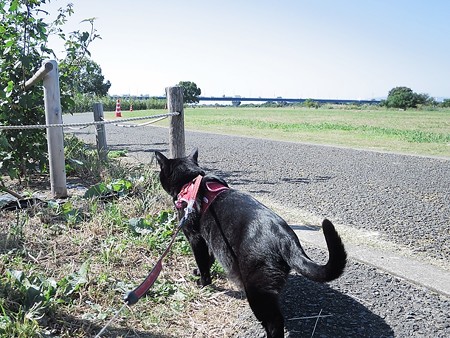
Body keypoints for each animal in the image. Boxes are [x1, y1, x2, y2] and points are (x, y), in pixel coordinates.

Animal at [156, 149, 348, 336]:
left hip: (256, 289)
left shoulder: (196, 238)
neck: (191, 182)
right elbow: (208, 259)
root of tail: (284, 236)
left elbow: (202, 262)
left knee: (274, 322)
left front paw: (203, 282)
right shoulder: (211, 240)